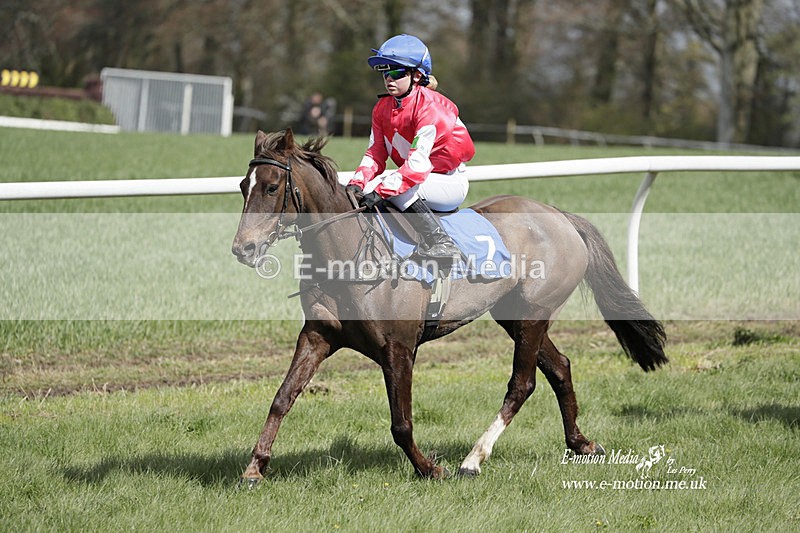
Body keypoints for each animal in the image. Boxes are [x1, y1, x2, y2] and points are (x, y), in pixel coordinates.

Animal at [231, 128, 667, 485]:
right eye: (242, 186)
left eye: (271, 187)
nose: (243, 249)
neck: (352, 254)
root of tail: (560, 215)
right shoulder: (318, 336)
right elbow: (282, 398)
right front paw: (255, 467)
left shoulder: (398, 348)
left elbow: (401, 423)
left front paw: (429, 468)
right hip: (515, 314)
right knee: (560, 367)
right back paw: (580, 442)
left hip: (534, 312)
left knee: (522, 384)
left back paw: (473, 459)